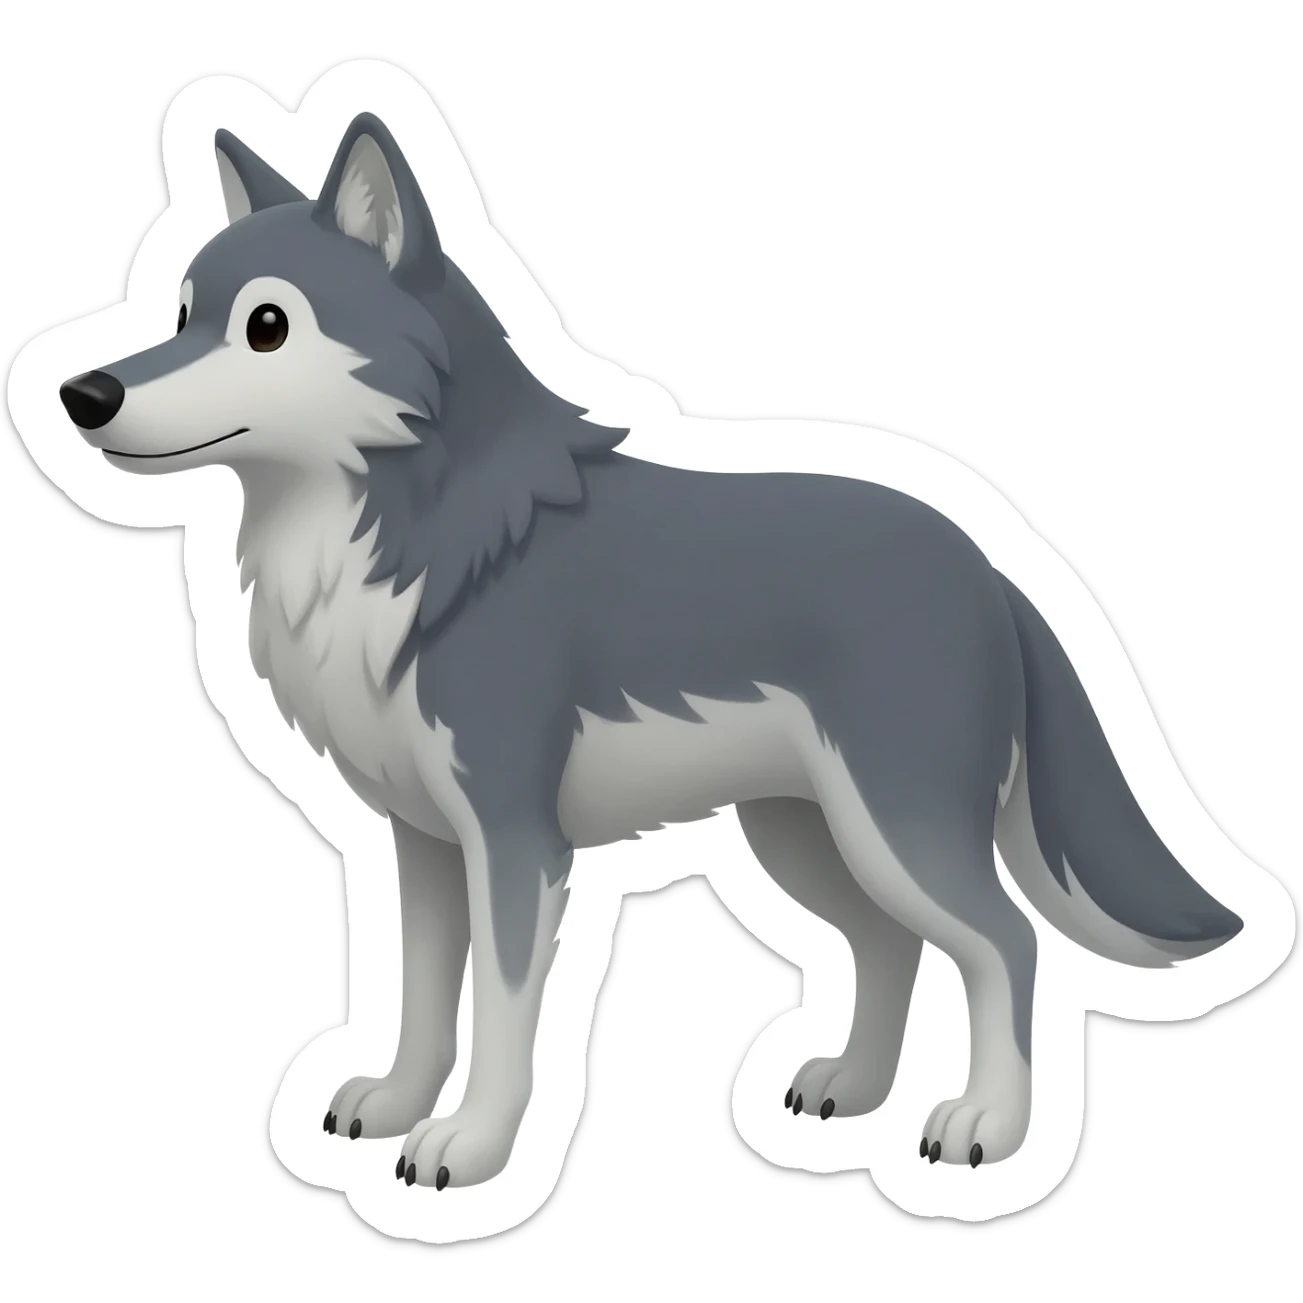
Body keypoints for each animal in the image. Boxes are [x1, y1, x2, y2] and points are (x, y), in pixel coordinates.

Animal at [53, 111, 1244, 1191]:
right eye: (179, 313)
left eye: (265, 326)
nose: (82, 394)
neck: (418, 540)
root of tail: (989, 562)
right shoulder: (421, 840)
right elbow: (422, 994)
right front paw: (392, 1103)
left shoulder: (515, 841)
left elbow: (500, 1010)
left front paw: (467, 1147)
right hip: (807, 838)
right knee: (888, 946)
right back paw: (850, 1087)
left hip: (894, 828)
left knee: (1007, 945)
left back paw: (985, 1126)